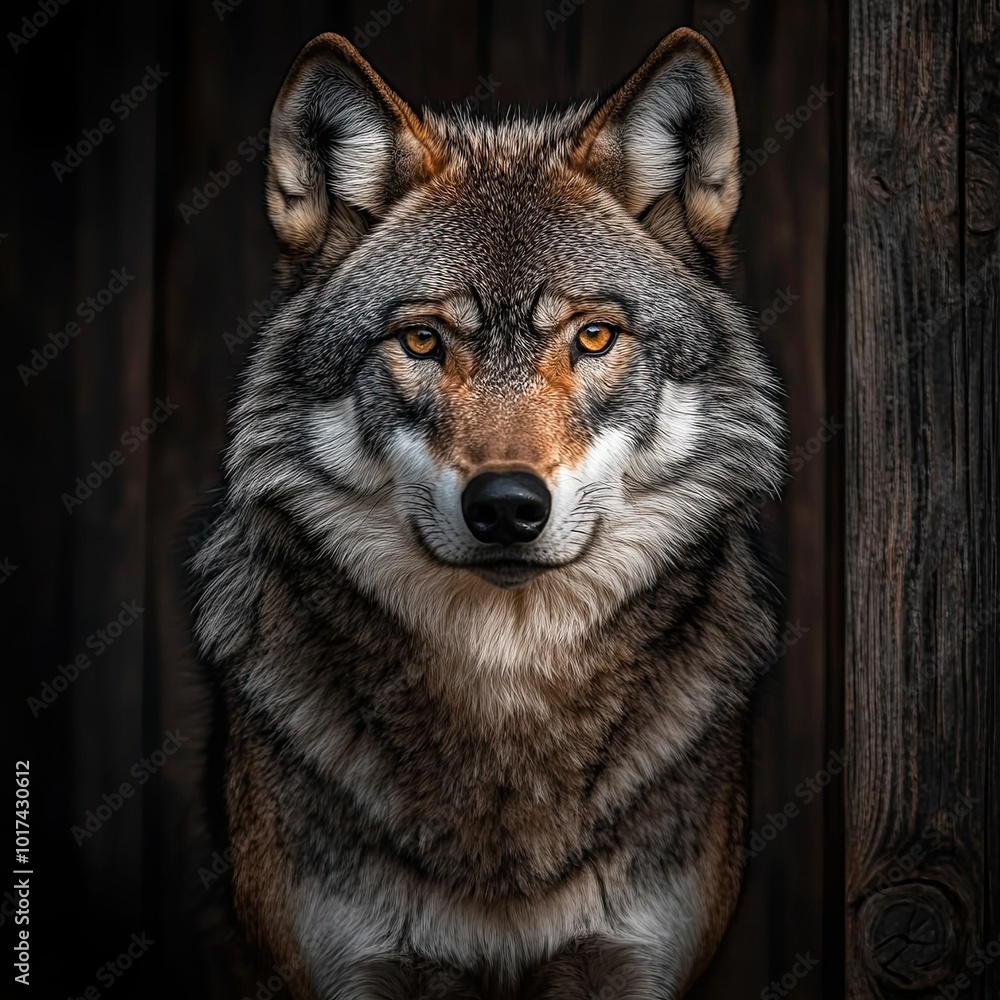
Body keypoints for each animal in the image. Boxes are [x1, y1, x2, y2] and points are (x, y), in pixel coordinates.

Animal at [191, 26, 785, 1000]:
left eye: (592, 337)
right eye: (423, 340)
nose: (507, 507)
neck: (504, 698)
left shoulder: (633, 963)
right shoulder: (355, 965)